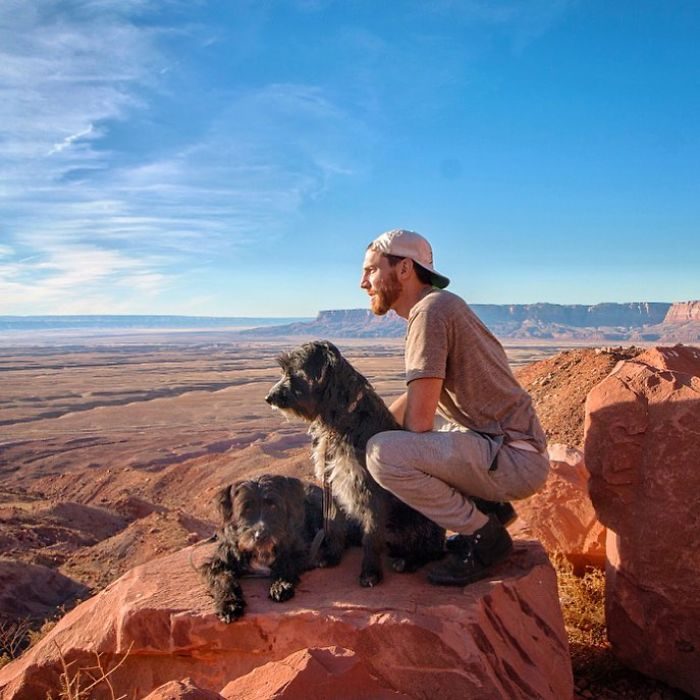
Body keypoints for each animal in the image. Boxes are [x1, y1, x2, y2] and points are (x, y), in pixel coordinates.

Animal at [262, 340, 442, 584]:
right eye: (283, 370)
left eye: (294, 371)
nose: (269, 398)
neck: (340, 418)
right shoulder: (333, 479)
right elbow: (333, 523)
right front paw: (332, 555)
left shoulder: (371, 489)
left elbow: (371, 536)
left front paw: (370, 571)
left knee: (430, 549)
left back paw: (409, 560)